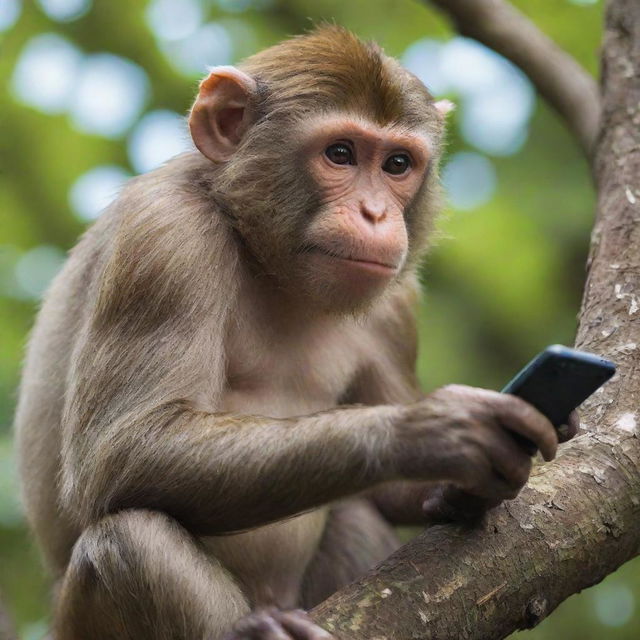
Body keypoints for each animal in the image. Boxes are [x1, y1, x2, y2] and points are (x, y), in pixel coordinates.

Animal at [13, 26, 576, 640]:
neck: (265, 257)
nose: (376, 213)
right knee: (128, 543)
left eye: (398, 163)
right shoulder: (163, 234)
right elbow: (120, 450)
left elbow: (389, 494)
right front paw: (431, 430)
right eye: (340, 154)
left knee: (354, 514)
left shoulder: (397, 302)